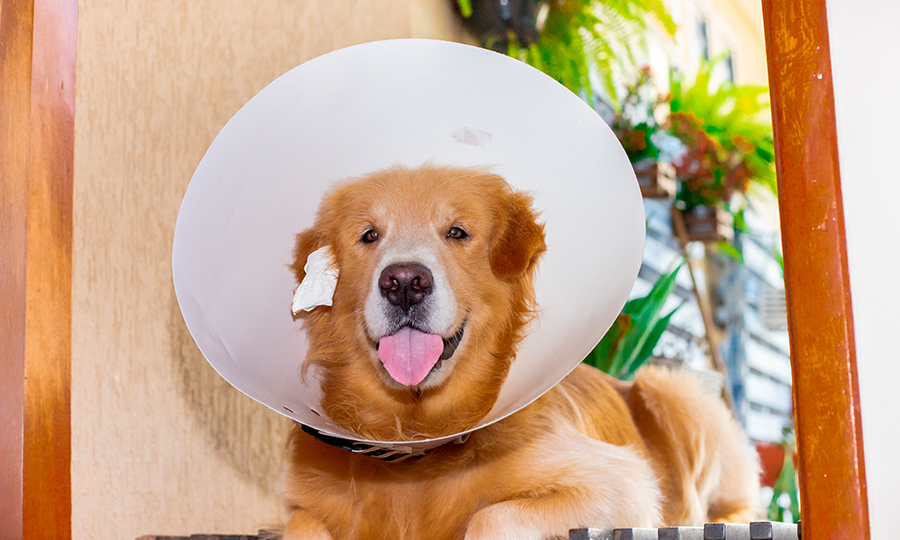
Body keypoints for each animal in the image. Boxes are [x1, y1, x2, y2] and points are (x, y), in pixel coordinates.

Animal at [282, 165, 760, 540]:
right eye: (369, 235)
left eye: (457, 232)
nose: (403, 282)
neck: (417, 435)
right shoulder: (302, 506)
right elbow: (301, 524)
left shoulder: (620, 483)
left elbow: (491, 516)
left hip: (673, 391)